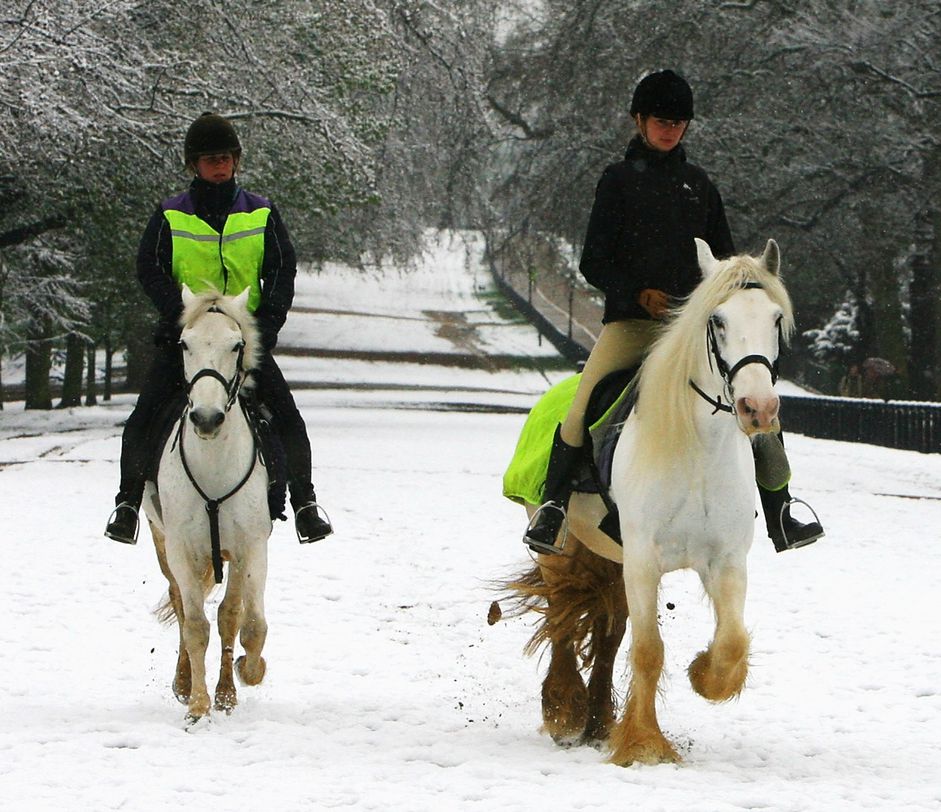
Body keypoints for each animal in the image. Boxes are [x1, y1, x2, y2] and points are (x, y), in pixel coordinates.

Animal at [142, 288, 272, 724]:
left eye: (237, 345)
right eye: (184, 344)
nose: (207, 418)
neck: (214, 464)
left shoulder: (251, 547)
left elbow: (247, 623)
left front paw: (243, 678)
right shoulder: (181, 549)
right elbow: (195, 625)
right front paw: (197, 705)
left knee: (228, 615)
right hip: (162, 541)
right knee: (182, 605)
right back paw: (184, 684)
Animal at [500, 238, 792, 764]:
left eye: (776, 319)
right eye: (717, 321)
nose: (758, 409)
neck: (699, 451)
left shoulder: (726, 560)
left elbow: (731, 641)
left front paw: (704, 677)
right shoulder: (642, 559)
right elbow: (648, 650)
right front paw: (643, 746)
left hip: (611, 559)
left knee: (608, 632)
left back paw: (598, 721)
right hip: (561, 547)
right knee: (561, 615)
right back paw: (565, 710)